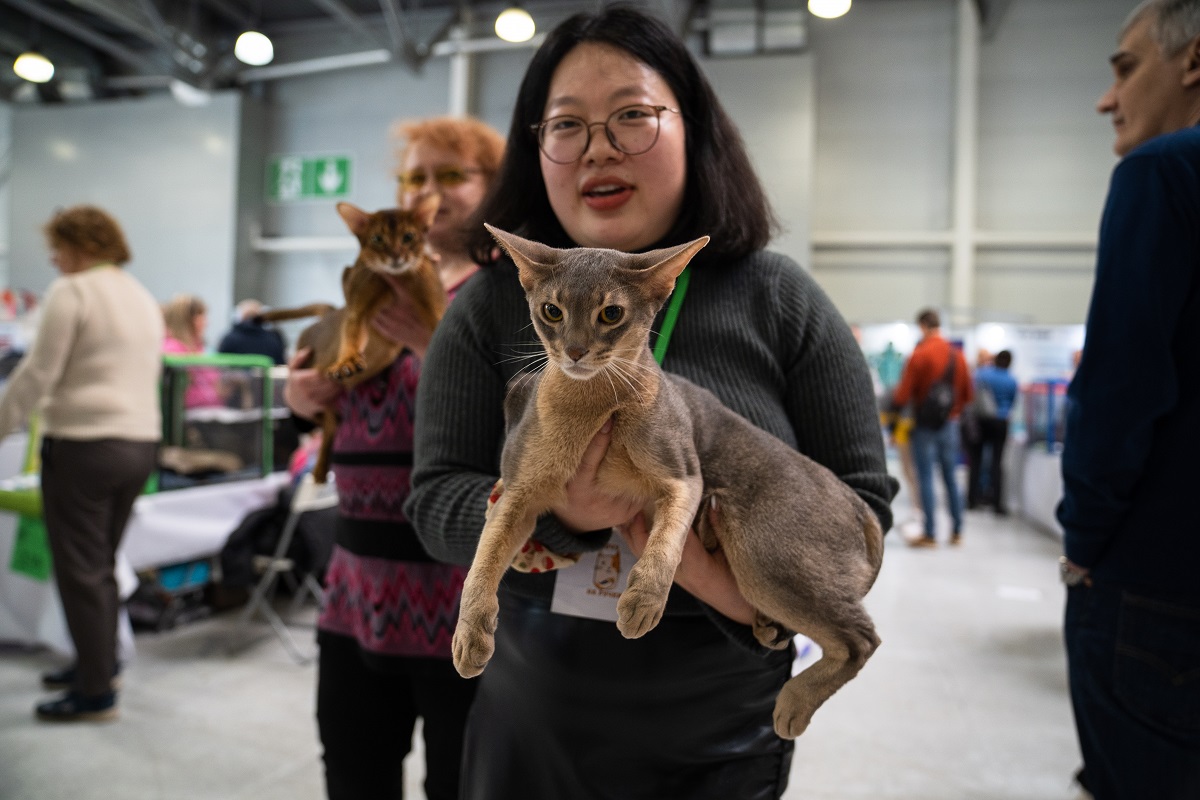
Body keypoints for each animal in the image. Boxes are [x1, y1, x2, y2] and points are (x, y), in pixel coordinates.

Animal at [261, 195, 446, 482]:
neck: (397, 279)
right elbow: (353, 333)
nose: (395, 256)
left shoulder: (433, 304)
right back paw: (320, 467)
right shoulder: (357, 304)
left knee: (331, 422)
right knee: (329, 421)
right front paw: (347, 361)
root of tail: (328, 313)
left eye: (408, 237)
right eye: (377, 239)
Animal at [453, 224, 888, 738]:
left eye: (611, 313)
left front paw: (643, 600)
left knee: (862, 639)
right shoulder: (517, 492)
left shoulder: (684, 476)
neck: (588, 404)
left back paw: (795, 703)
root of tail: (857, 505)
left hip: (764, 552)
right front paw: (470, 635)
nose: (575, 351)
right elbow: (482, 561)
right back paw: (769, 629)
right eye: (551, 311)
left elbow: (667, 543)